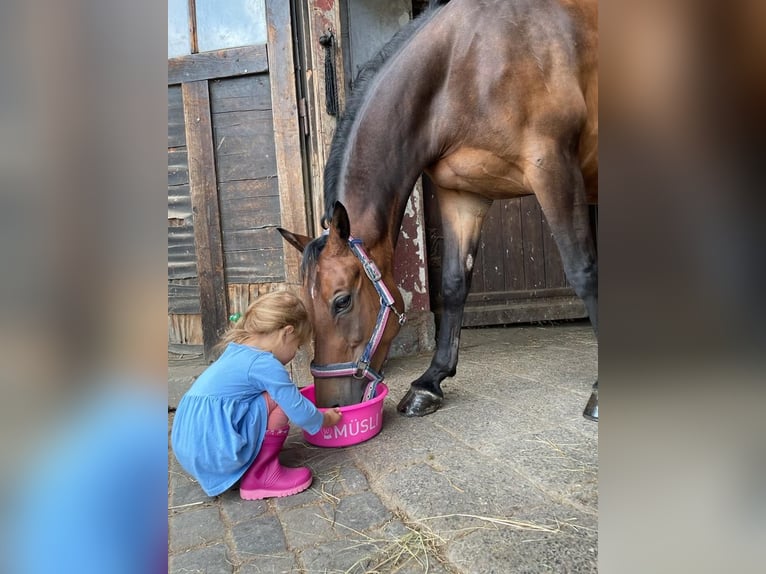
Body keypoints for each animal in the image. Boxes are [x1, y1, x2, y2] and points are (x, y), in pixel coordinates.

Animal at [280, 0, 600, 424]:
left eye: (342, 301)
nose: (333, 403)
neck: (465, 66)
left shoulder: (552, 167)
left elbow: (583, 272)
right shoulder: (462, 194)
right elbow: (452, 285)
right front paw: (429, 383)